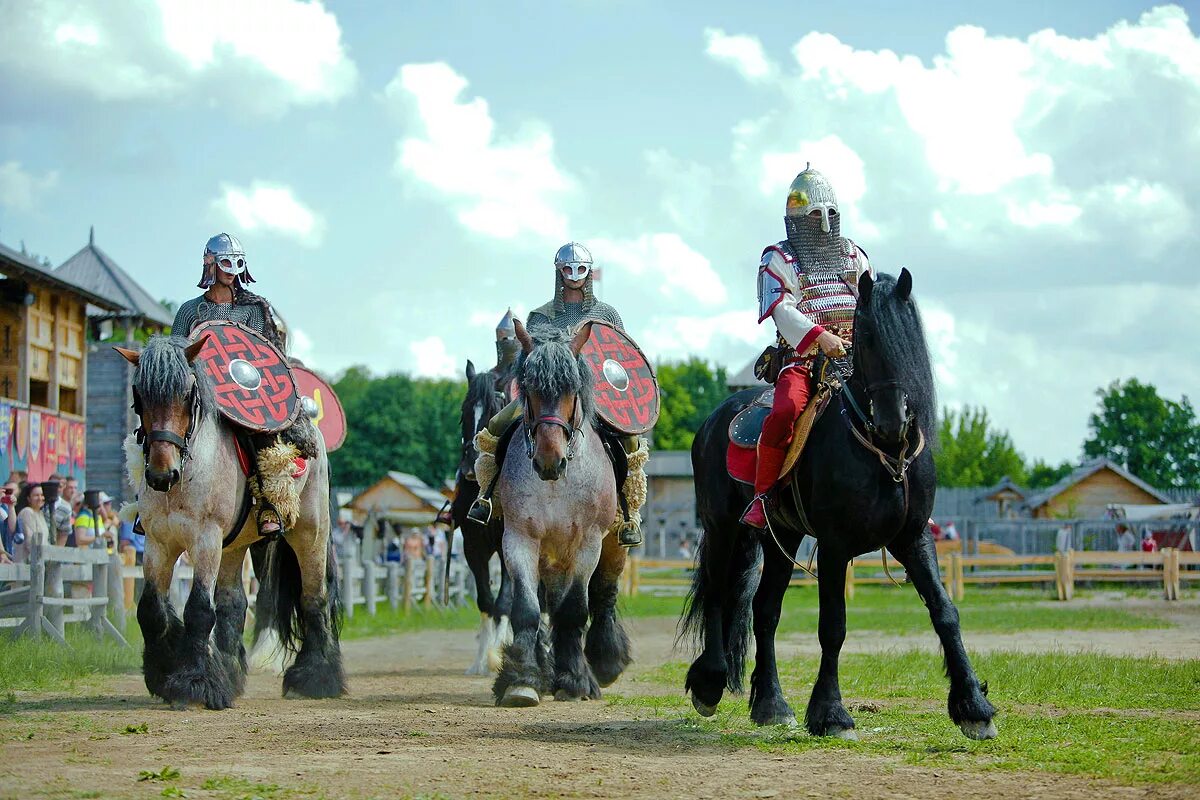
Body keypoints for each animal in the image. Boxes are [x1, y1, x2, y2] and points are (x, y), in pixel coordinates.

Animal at [118, 335, 348, 710]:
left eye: (187, 393)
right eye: (139, 395)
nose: (161, 474)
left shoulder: (205, 539)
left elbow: (198, 609)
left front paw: (195, 683)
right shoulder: (158, 543)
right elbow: (151, 609)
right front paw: (163, 674)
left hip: (309, 535)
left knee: (314, 599)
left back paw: (315, 678)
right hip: (233, 546)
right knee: (233, 603)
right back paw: (229, 673)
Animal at [492, 319, 633, 705]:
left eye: (572, 388)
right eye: (529, 388)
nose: (548, 460)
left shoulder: (588, 543)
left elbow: (575, 609)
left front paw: (573, 679)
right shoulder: (519, 539)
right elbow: (527, 610)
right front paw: (522, 679)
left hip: (611, 546)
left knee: (604, 595)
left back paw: (603, 663)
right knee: (547, 605)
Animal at [681, 272, 998, 743]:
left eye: (911, 336)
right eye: (866, 338)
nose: (893, 422)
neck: (879, 452)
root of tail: (715, 419)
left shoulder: (913, 539)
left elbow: (945, 612)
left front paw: (974, 706)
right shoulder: (834, 546)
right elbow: (833, 626)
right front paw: (831, 713)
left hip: (782, 535)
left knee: (765, 611)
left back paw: (771, 704)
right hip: (723, 528)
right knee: (720, 595)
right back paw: (711, 683)